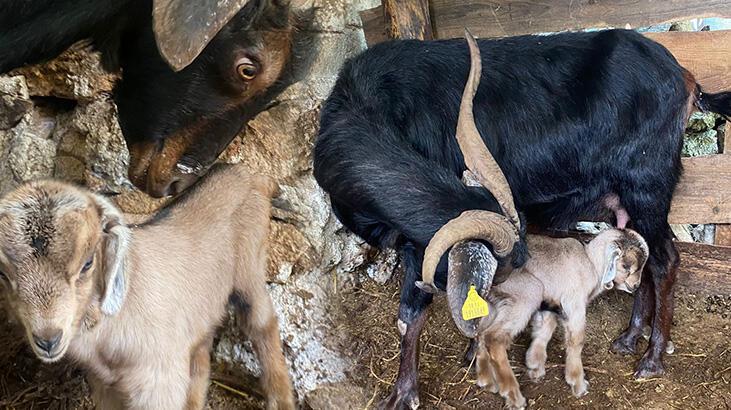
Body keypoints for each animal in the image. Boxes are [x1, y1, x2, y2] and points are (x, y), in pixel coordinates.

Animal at [314, 28, 731, 406]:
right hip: (622, 200)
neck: (366, 105)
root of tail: (684, 76)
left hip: (648, 186)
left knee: (665, 260)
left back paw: (653, 357)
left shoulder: (419, 246)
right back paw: (629, 338)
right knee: (637, 250)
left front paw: (404, 394)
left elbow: (411, 313)